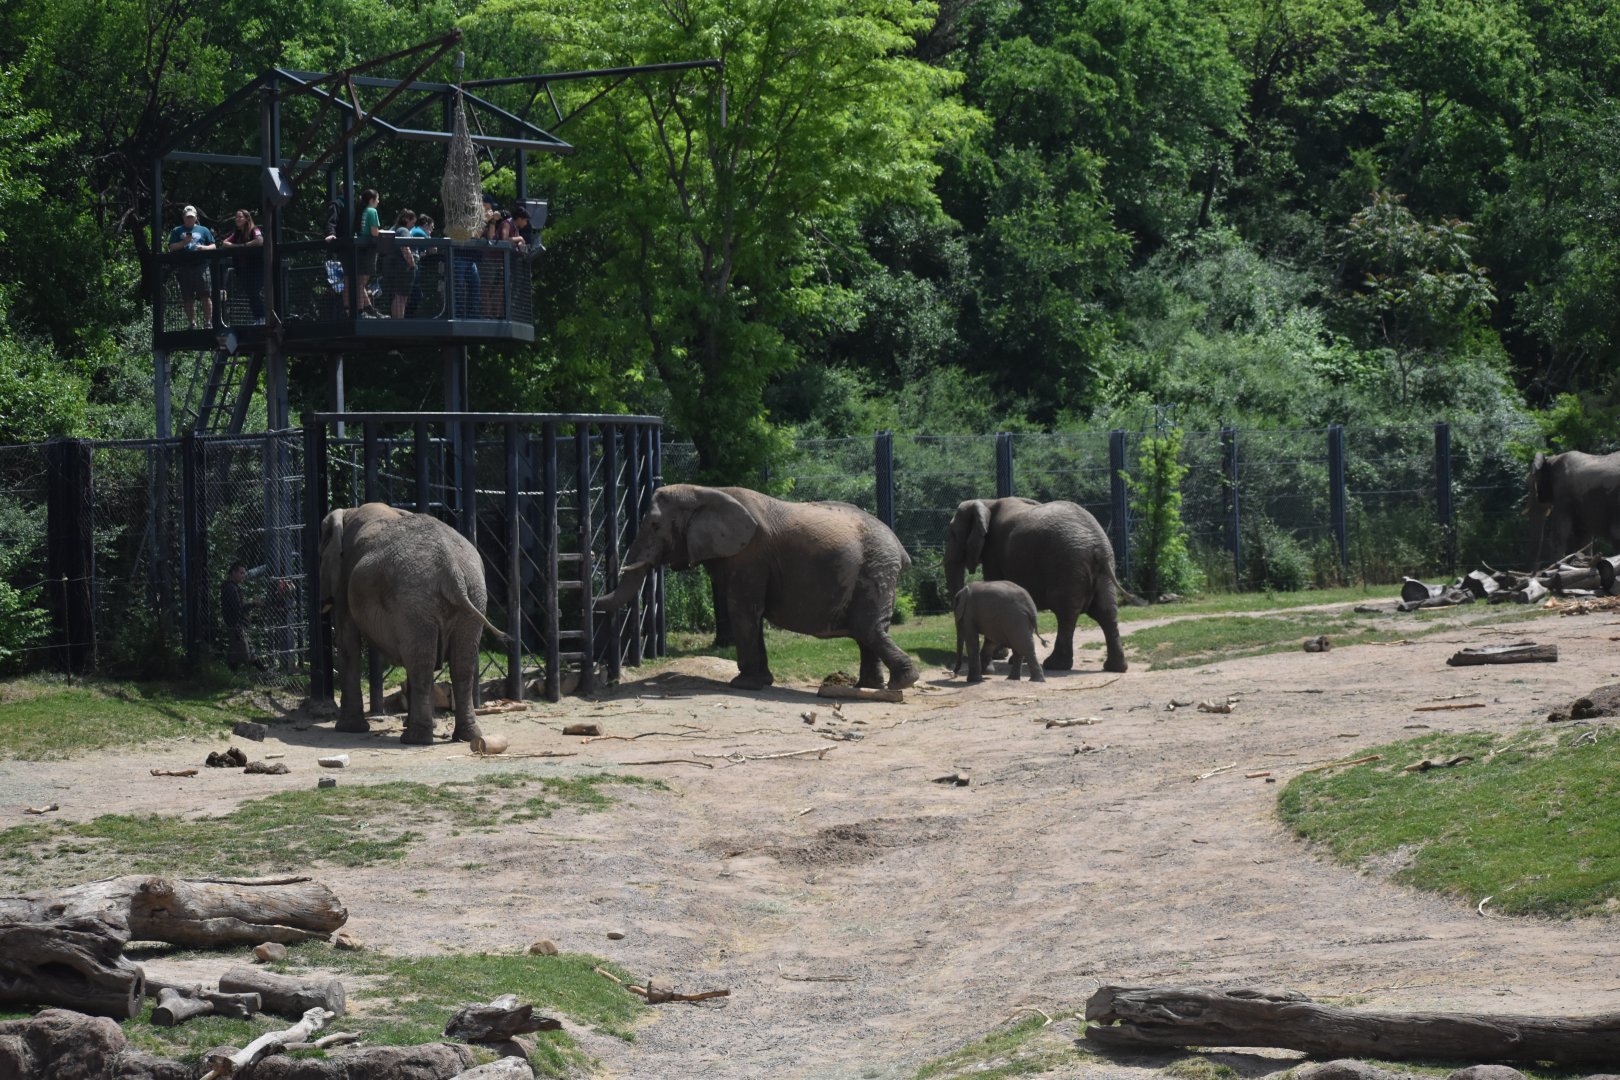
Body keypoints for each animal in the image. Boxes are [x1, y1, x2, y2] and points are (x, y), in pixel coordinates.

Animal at [318, 502, 500, 745]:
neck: (349, 512)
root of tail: (451, 567)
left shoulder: (344, 580)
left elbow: (348, 641)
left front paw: (348, 729)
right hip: (472, 593)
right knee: (460, 662)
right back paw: (465, 736)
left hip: (415, 599)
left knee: (421, 662)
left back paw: (414, 739)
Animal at [595, 485, 920, 691]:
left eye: (654, 525)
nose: (593, 601)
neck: (705, 490)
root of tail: (899, 546)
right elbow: (750, 613)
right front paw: (762, 682)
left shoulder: (750, 554)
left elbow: (742, 610)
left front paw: (743, 685)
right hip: (875, 566)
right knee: (866, 630)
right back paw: (871, 687)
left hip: (875, 565)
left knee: (866, 627)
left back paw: (901, 683)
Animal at [945, 497, 1127, 674]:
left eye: (953, 533)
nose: (954, 668)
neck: (987, 502)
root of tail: (1098, 548)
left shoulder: (993, 552)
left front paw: (1000, 655)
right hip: (1102, 572)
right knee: (1106, 612)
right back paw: (1115, 668)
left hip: (1067, 567)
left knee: (1066, 614)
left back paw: (1054, 665)